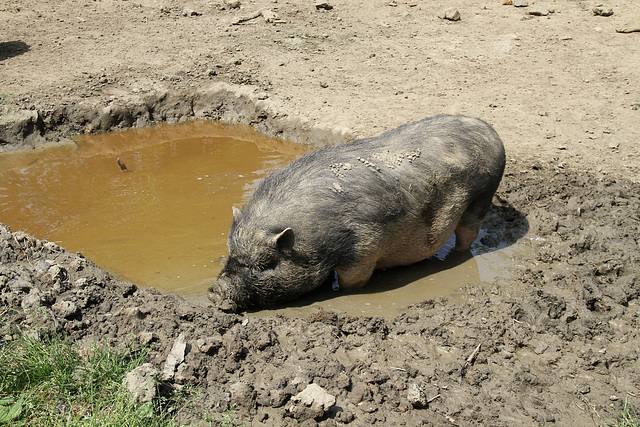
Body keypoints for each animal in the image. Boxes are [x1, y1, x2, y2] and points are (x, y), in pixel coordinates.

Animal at [210, 115, 504, 310]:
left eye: (264, 264)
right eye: (231, 254)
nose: (215, 291)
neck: (311, 241)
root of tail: (489, 129)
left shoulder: (363, 250)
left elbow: (352, 281)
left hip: (482, 196)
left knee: (468, 234)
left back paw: (454, 257)